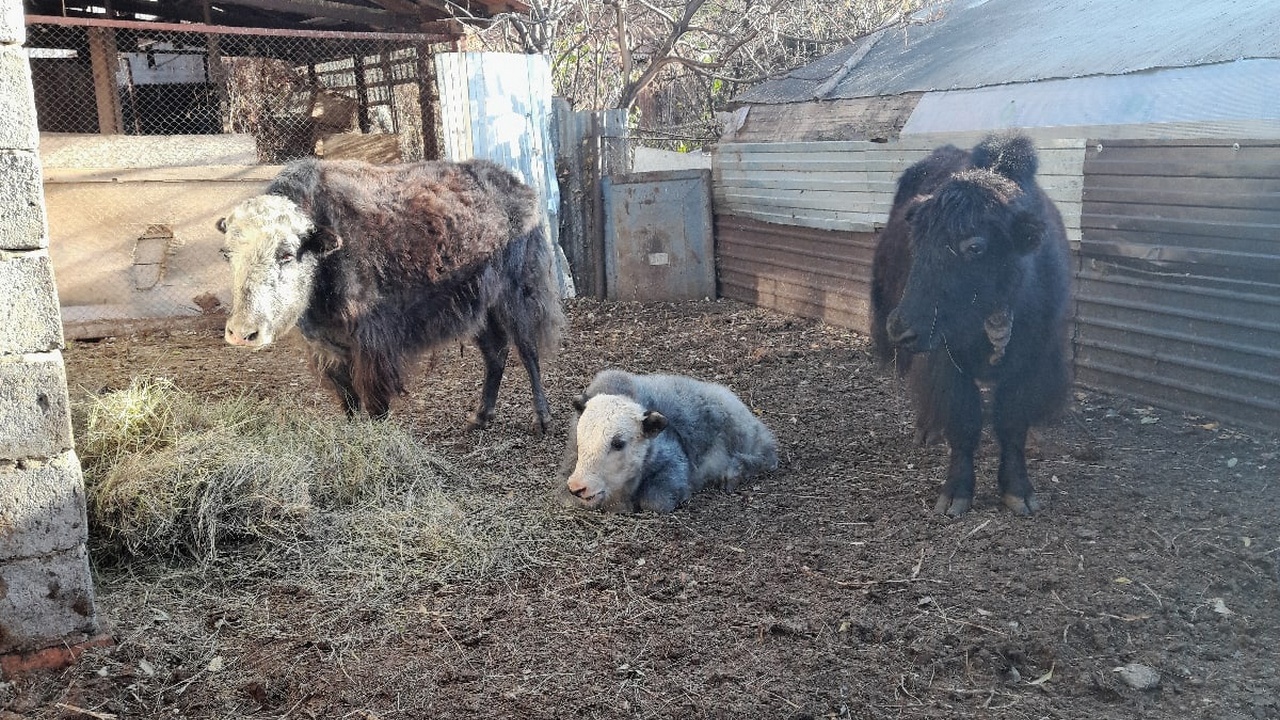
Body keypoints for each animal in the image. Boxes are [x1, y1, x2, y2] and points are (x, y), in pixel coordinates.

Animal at [220, 156, 565, 427]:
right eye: (227, 253)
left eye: (287, 254)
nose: (242, 333)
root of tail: (521, 187)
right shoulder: (331, 351)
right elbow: (349, 402)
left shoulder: (372, 348)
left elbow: (375, 404)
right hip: (479, 307)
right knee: (496, 351)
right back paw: (480, 417)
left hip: (514, 294)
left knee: (527, 349)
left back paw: (543, 418)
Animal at [870, 133, 1070, 515]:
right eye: (917, 239)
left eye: (975, 247)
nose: (900, 329)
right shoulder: (948, 360)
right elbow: (963, 422)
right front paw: (955, 495)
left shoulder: (1031, 361)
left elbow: (1012, 422)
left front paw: (1019, 493)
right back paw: (927, 431)